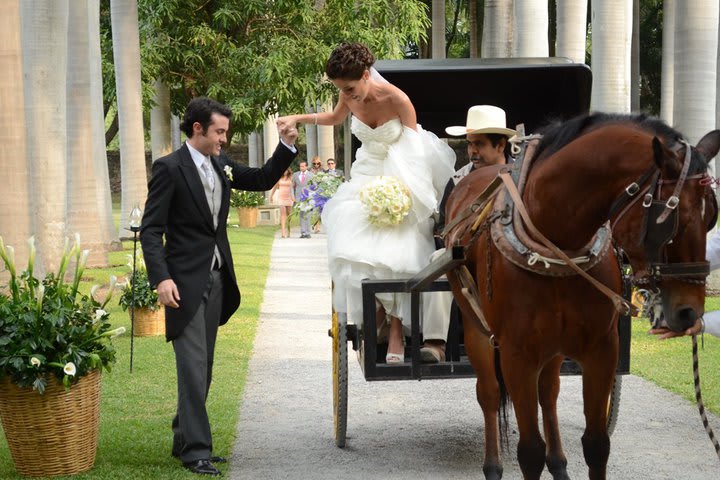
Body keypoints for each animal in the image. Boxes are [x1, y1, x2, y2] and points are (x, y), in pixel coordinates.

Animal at [444, 113, 720, 480]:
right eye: (675, 222)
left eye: (711, 218)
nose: (690, 313)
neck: (556, 242)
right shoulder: (517, 354)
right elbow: (529, 451)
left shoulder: (602, 349)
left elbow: (597, 443)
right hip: (477, 328)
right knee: (488, 393)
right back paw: (493, 466)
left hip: (554, 346)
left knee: (548, 393)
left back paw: (559, 464)